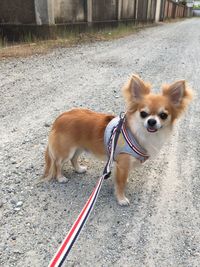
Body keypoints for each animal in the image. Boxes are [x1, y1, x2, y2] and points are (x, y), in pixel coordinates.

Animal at [43, 75, 192, 207]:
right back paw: (60, 177)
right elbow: (121, 183)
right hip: (66, 151)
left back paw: (79, 169)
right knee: (57, 163)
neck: (138, 134)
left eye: (163, 115)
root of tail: (60, 117)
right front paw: (121, 199)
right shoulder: (123, 164)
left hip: (79, 148)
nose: (151, 121)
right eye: (143, 113)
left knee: (73, 159)